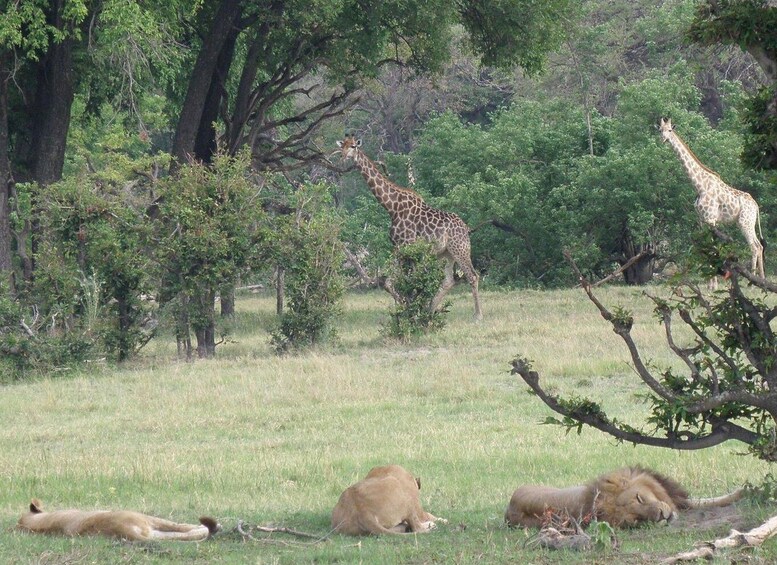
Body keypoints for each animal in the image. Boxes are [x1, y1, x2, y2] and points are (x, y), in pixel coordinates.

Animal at [337, 135, 482, 320]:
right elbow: (392, 282)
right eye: (343, 146)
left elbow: (403, 281)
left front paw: (408, 309)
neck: (391, 207)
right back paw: (430, 311)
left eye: (354, 146)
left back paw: (477, 315)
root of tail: (466, 228)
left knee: (472, 276)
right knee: (449, 280)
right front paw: (407, 309)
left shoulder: (406, 246)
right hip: (446, 254)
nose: (342, 158)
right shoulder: (400, 248)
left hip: (460, 249)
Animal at [505, 466, 744, 529]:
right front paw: (744, 491)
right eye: (637, 520)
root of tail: (509, 511)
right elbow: (702, 501)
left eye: (639, 498)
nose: (661, 516)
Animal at [659, 118, 765, 284]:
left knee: (754, 246)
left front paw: (712, 283)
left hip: (744, 222)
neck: (699, 186)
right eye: (660, 129)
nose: (663, 139)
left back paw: (752, 281)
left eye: (670, 130)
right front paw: (709, 282)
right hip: (748, 222)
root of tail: (756, 206)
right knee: (759, 246)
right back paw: (762, 279)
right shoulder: (702, 220)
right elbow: (708, 248)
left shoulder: (711, 218)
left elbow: (714, 248)